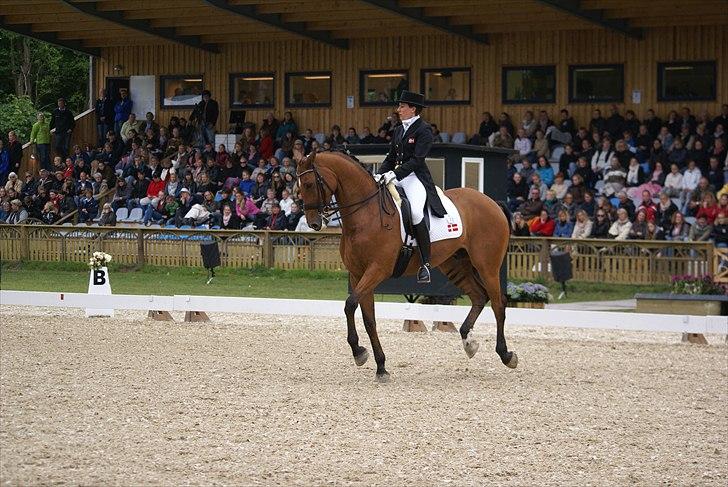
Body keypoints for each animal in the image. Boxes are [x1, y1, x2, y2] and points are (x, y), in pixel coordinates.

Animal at [298, 151, 516, 384]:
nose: (313, 223)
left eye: (309, 184)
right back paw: (469, 343)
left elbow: (350, 305)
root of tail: (492, 202)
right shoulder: (358, 274)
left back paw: (506, 354)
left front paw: (359, 352)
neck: (366, 214)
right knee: (479, 297)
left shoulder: (377, 270)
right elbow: (368, 319)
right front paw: (380, 366)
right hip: (456, 265)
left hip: (487, 266)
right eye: (299, 186)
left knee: (498, 304)